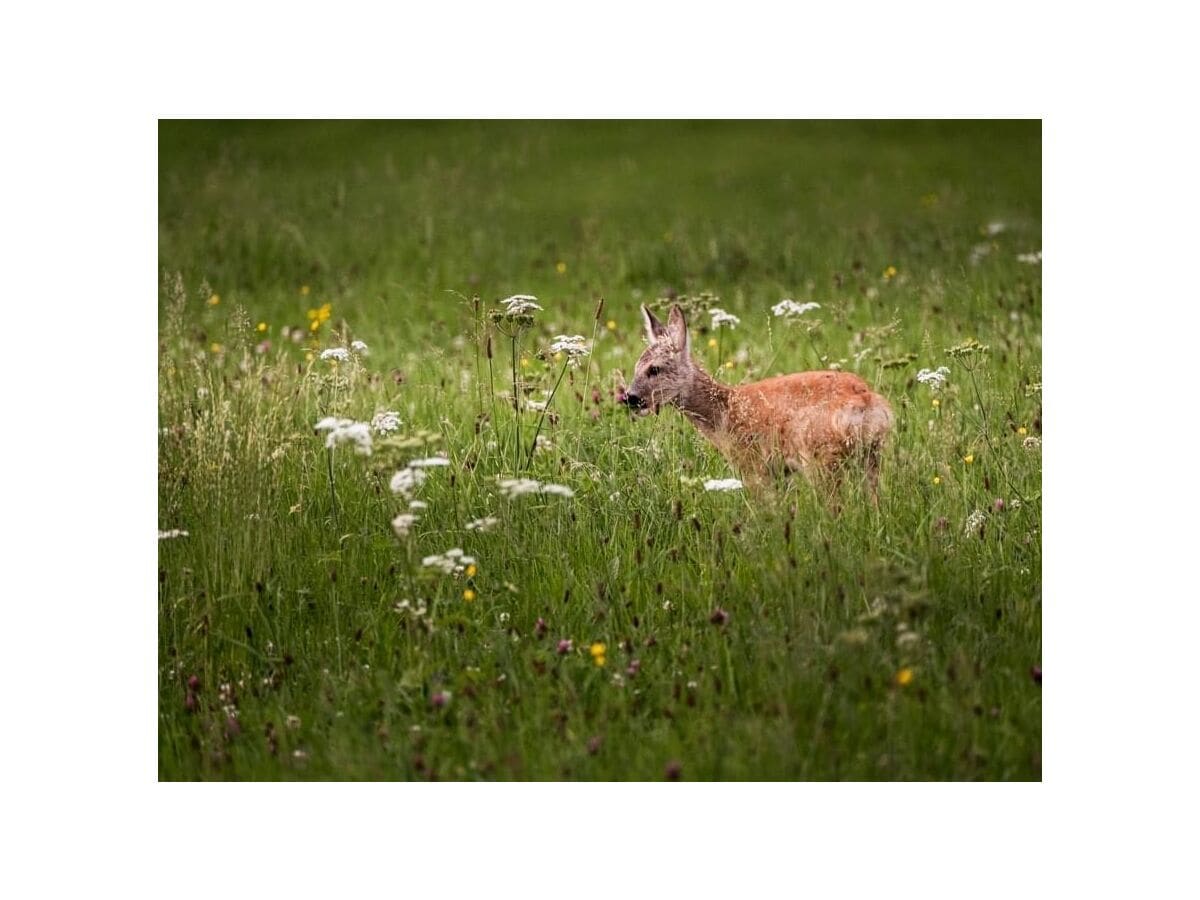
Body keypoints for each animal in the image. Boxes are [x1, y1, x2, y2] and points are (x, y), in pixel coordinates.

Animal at [619, 303, 892, 501]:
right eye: (635, 367)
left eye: (654, 369)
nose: (630, 397)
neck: (724, 413)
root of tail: (866, 401)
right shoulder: (781, 472)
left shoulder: (752, 463)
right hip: (870, 455)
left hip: (820, 455)